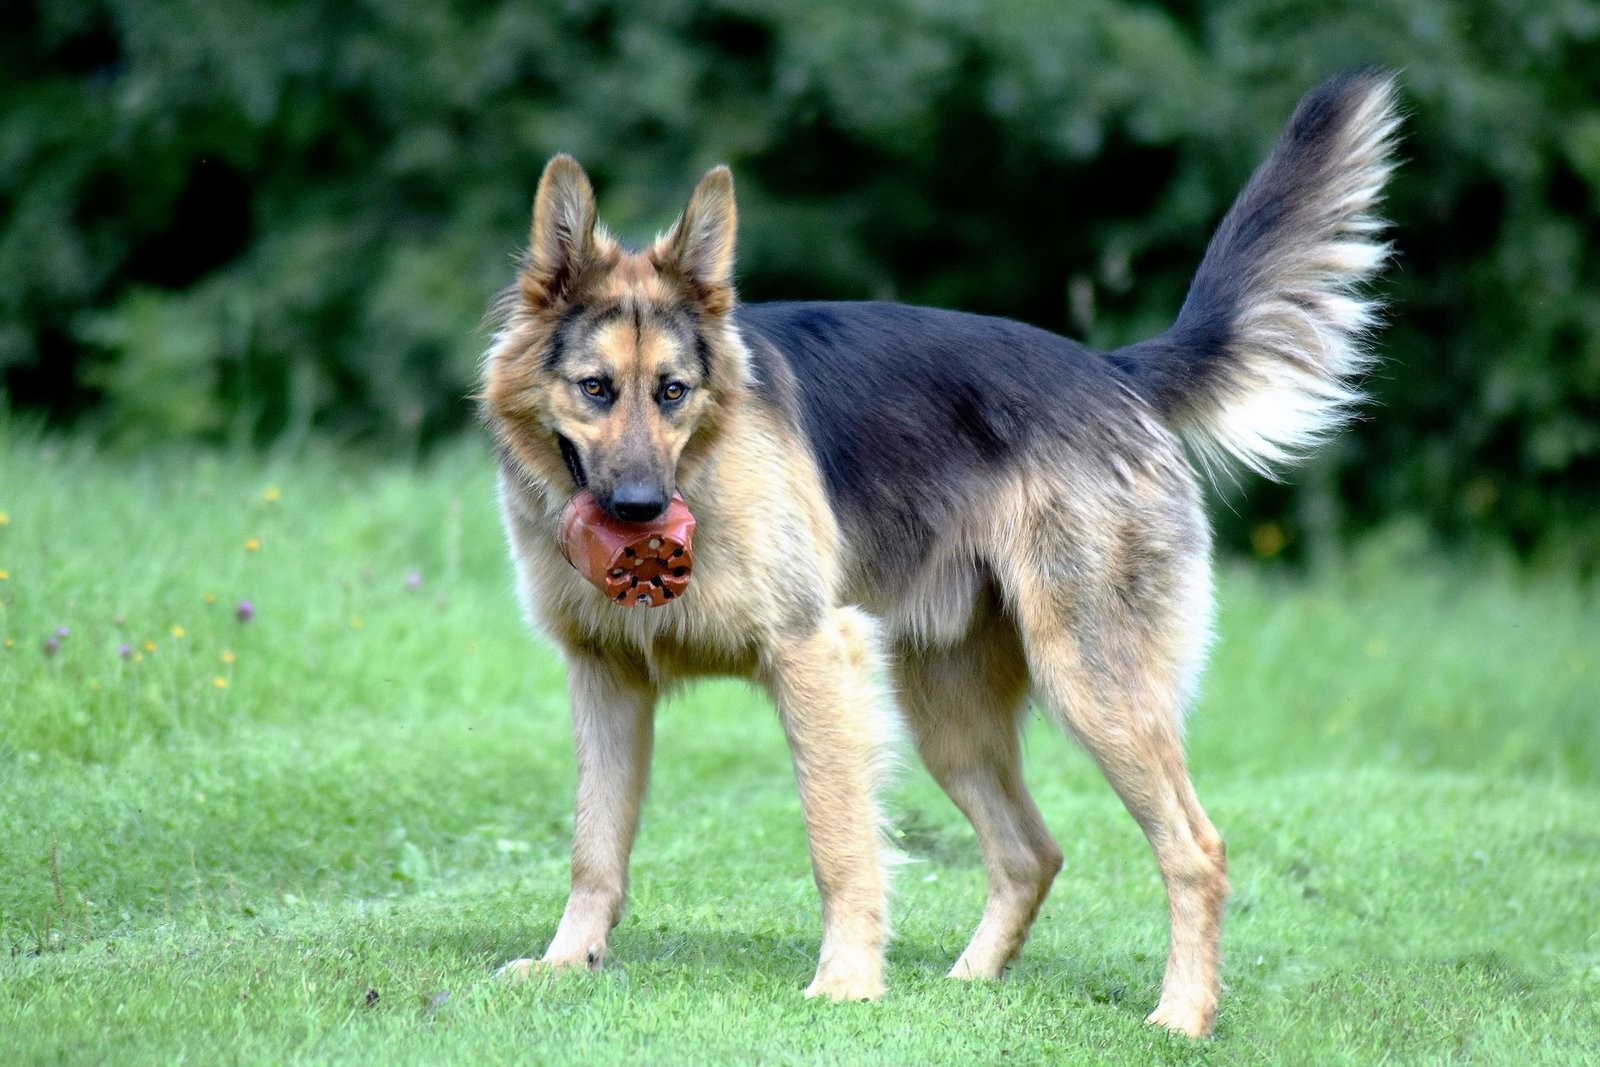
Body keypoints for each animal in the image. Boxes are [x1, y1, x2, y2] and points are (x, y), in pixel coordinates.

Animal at [476, 70, 1401, 1036]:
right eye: (595, 389)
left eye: (672, 391)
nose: (640, 510)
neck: (705, 457)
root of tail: (1117, 372)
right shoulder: (607, 681)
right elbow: (594, 846)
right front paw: (567, 962)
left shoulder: (815, 657)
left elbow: (839, 841)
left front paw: (847, 983)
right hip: (950, 717)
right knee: (1032, 851)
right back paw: (970, 983)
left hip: (1092, 687)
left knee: (1196, 848)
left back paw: (1181, 1015)